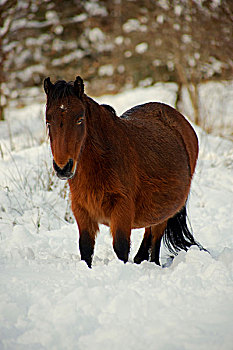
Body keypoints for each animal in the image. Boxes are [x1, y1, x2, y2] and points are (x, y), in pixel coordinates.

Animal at [44, 77, 202, 268]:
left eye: (80, 119)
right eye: (48, 121)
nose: (63, 168)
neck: (101, 162)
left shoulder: (122, 209)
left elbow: (121, 247)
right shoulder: (81, 210)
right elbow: (86, 248)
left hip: (166, 209)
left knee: (156, 236)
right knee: (149, 230)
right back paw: (140, 259)